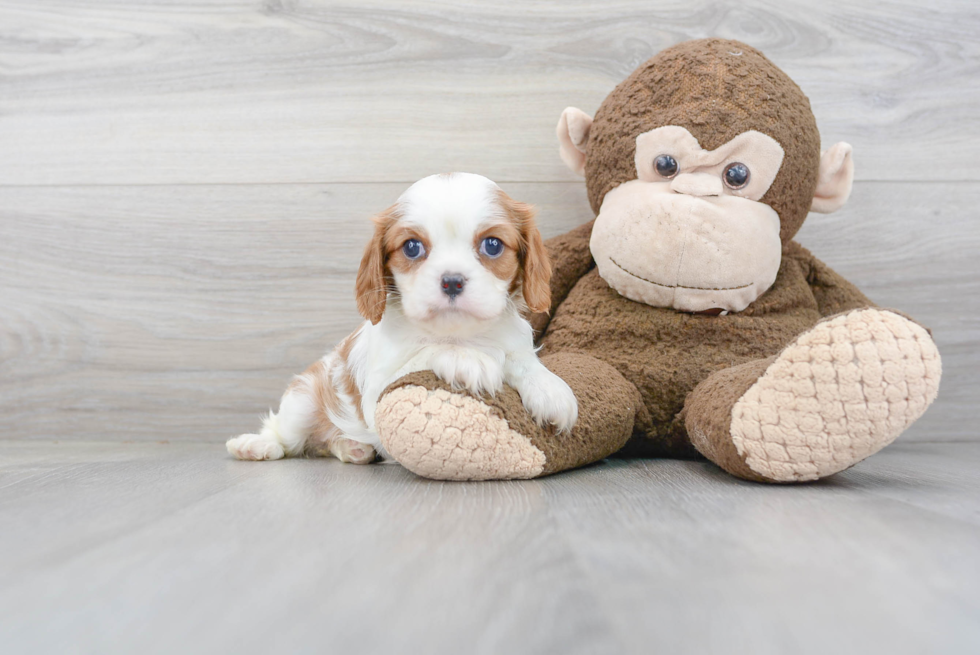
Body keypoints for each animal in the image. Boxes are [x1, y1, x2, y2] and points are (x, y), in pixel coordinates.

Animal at [226, 172, 580, 464]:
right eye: (412, 247)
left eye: (492, 245)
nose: (452, 281)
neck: (460, 332)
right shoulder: (378, 389)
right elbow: (427, 352)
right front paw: (467, 358)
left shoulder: (514, 342)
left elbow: (522, 362)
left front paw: (550, 388)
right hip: (303, 399)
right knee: (286, 435)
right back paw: (254, 445)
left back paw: (352, 447)